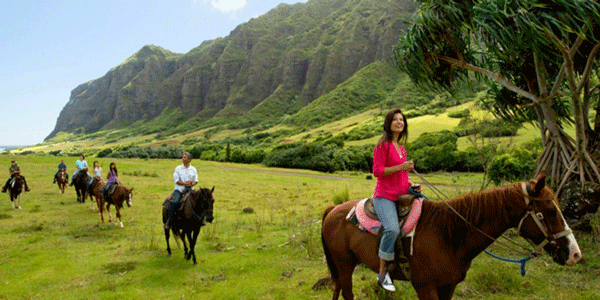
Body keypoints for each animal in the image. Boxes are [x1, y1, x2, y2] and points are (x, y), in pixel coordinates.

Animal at [322, 173, 584, 300]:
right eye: (550, 211)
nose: (575, 254)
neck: (449, 235)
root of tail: (333, 210)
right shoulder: (425, 287)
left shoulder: (448, 286)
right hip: (344, 265)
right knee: (347, 293)